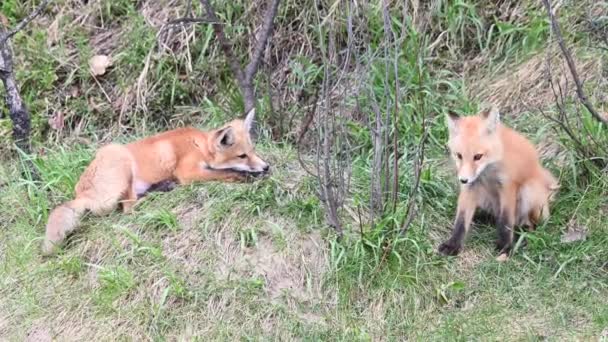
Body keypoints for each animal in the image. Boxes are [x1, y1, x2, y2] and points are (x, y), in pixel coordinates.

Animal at [42, 108, 268, 255]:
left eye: (253, 151)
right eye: (242, 156)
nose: (266, 167)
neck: (199, 146)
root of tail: (80, 194)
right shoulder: (187, 172)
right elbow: (226, 173)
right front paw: (247, 177)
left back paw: (163, 187)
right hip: (121, 159)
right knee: (128, 208)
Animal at [436, 106, 560, 256]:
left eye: (478, 156)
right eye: (459, 155)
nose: (463, 180)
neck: (488, 171)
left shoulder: (507, 186)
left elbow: (505, 220)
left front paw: (505, 245)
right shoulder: (471, 187)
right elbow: (461, 220)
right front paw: (453, 244)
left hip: (529, 192)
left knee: (533, 224)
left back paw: (523, 232)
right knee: (495, 216)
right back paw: (484, 218)